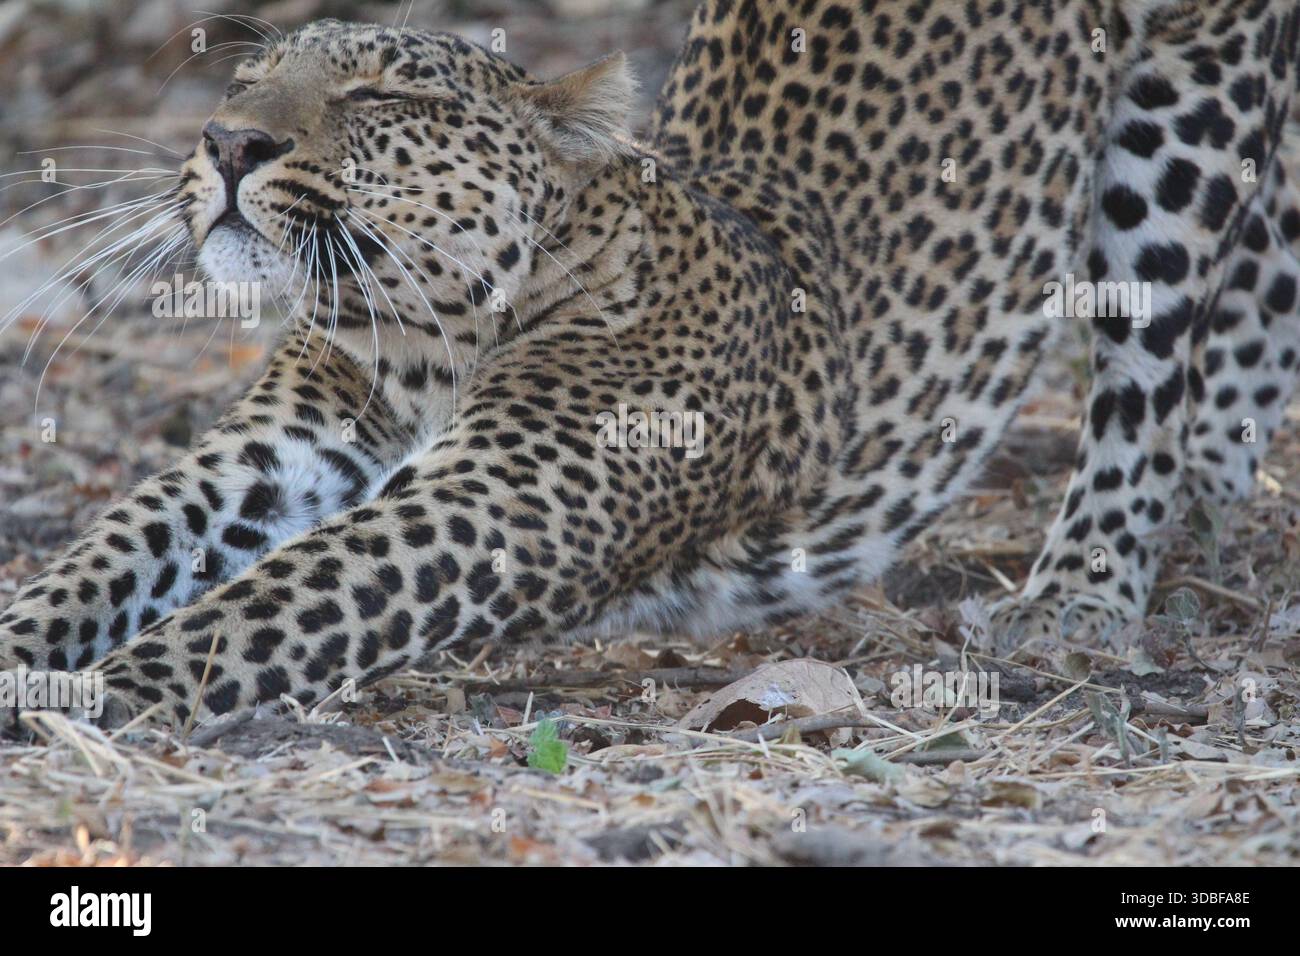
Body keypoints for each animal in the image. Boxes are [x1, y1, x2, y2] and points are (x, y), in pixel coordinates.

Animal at [3, 0, 1299, 730]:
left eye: (380, 93)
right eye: (240, 82)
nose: (226, 141)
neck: (419, 340)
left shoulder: (491, 508)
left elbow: (265, 606)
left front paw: (94, 698)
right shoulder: (279, 451)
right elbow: (107, 553)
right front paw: (27, 644)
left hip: (1176, 128)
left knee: (1146, 370)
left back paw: (1081, 589)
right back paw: (1207, 508)